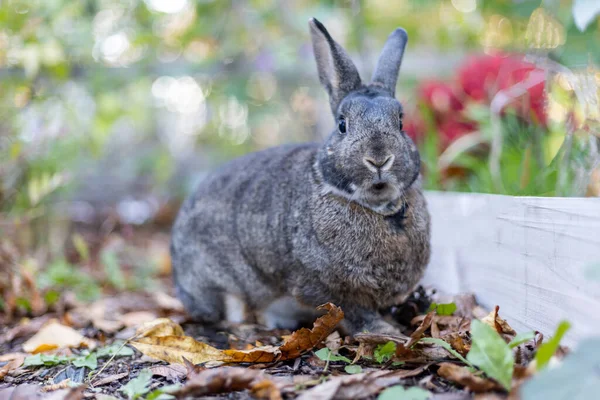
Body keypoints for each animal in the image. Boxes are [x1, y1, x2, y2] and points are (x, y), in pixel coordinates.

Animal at [171, 18, 428, 336]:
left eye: (401, 122)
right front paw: (384, 331)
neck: (380, 208)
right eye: (342, 125)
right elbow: (353, 311)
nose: (379, 159)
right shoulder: (323, 286)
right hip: (218, 283)